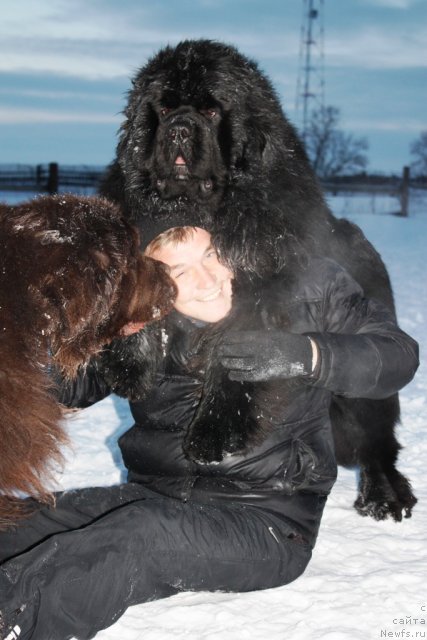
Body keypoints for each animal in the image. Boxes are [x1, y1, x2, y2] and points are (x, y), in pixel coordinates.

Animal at [101, 38, 418, 520]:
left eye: (212, 111)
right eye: (165, 108)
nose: (178, 129)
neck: (197, 210)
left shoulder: (266, 286)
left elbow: (238, 358)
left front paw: (212, 434)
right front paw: (128, 363)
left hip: (364, 385)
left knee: (376, 436)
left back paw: (384, 493)